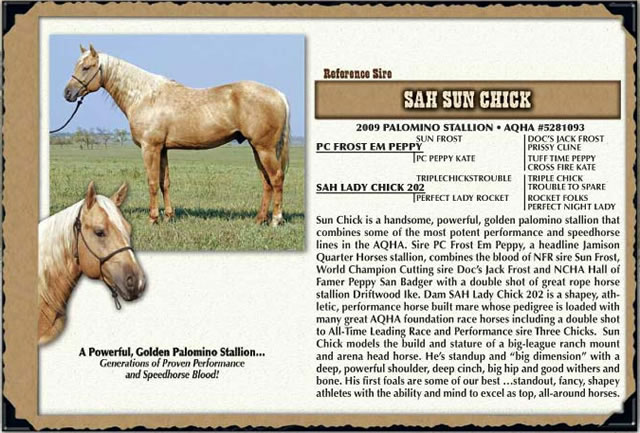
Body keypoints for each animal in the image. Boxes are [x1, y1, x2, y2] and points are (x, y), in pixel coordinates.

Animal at [63, 44, 290, 226]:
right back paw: (260, 219)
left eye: (86, 67)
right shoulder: (162, 149)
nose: (67, 93)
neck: (145, 97)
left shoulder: (150, 148)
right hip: (257, 149)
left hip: (264, 149)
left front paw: (153, 218)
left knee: (276, 178)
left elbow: (152, 182)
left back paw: (276, 220)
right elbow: (164, 183)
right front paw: (168, 216)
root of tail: (279, 95)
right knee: (266, 182)